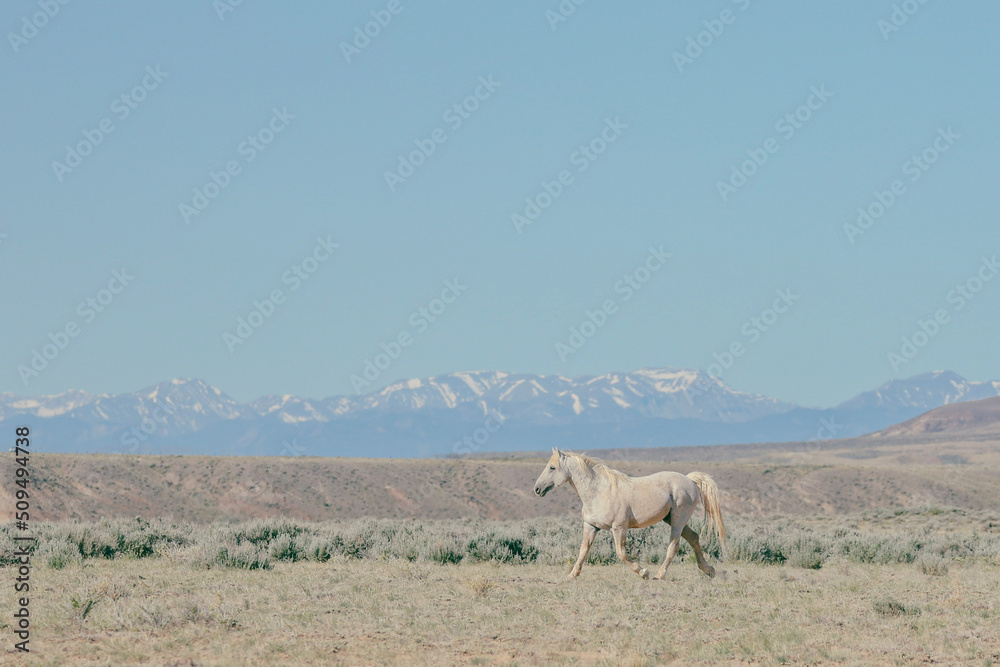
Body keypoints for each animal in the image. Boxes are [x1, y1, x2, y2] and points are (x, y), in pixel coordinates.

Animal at [536, 448, 724, 580]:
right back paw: (709, 570)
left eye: (552, 467)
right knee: (694, 538)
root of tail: (690, 480)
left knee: (674, 546)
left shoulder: (619, 527)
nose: (537, 489)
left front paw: (643, 572)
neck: (599, 492)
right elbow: (583, 551)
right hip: (671, 519)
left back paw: (659, 575)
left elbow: (621, 553)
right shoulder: (590, 526)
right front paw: (572, 575)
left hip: (678, 519)